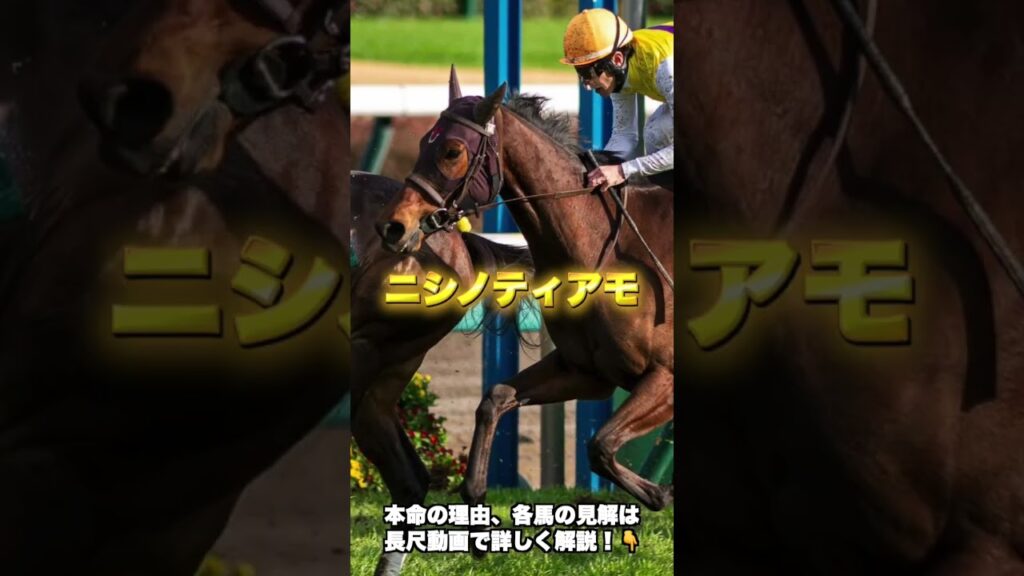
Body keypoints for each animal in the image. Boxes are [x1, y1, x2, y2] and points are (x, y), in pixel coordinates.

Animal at [374, 69, 676, 513]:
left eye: (452, 151)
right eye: (423, 142)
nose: (393, 226)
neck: (601, 250)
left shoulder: (663, 377)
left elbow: (601, 445)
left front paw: (659, 492)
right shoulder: (586, 371)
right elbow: (496, 397)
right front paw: (474, 490)